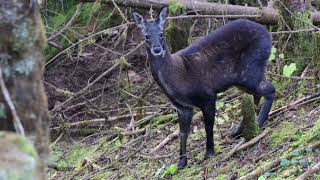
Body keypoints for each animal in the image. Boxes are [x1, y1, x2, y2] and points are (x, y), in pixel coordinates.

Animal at [132, 6, 276, 167]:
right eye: (146, 36)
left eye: (162, 34)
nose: (157, 49)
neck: (176, 79)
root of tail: (267, 33)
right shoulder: (182, 107)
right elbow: (183, 133)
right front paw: (181, 162)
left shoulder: (207, 95)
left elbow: (208, 125)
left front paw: (209, 153)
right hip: (242, 79)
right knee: (255, 95)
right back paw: (239, 131)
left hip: (250, 69)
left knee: (269, 89)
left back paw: (259, 123)